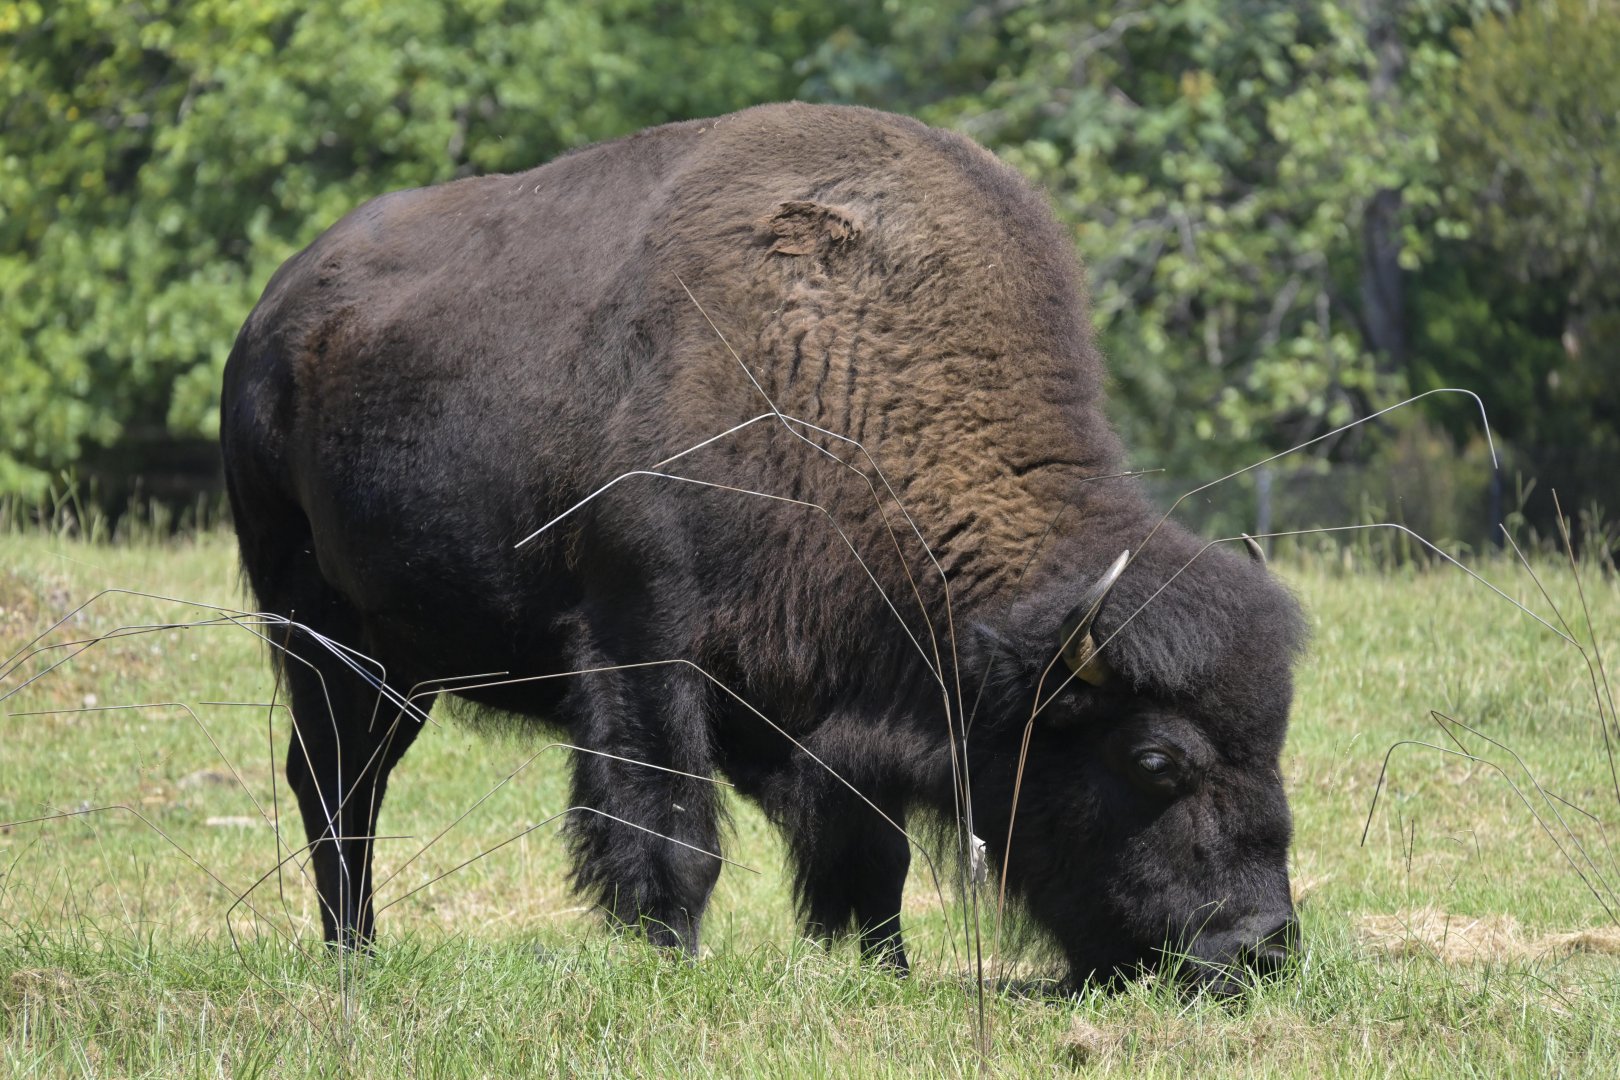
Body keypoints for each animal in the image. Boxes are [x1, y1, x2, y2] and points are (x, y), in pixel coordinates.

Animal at [220, 102, 1304, 991]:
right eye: (1155, 760)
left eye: (1276, 737)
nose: (1260, 946)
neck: (837, 379)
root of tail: (270, 323)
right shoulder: (646, 645)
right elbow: (674, 829)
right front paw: (675, 962)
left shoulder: (827, 704)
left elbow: (873, 855)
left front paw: (887, 970)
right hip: (320, 635)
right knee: (334, 784)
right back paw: (355, 956)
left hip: (406, 667)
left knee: (351, 780)